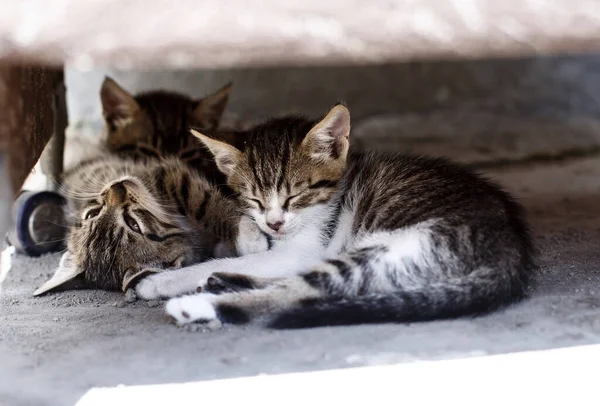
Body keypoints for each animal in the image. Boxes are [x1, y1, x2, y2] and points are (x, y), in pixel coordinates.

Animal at [32, 154, 268, 296]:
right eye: (134, 224)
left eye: (92, 213)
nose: (116, 187)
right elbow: (205, 204)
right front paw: (248, 236)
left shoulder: (166, 174)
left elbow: (201, 202)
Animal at [137, 104, 536, 326]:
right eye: (253, 198)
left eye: (296, 195)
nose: (274, 223)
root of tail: (510, 252)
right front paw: (247, 235)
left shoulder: (305, 247)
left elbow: (253, 261)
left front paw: (163, 280)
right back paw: (221, 283)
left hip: (395, 245)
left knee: (302, 292)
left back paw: (197, 303)